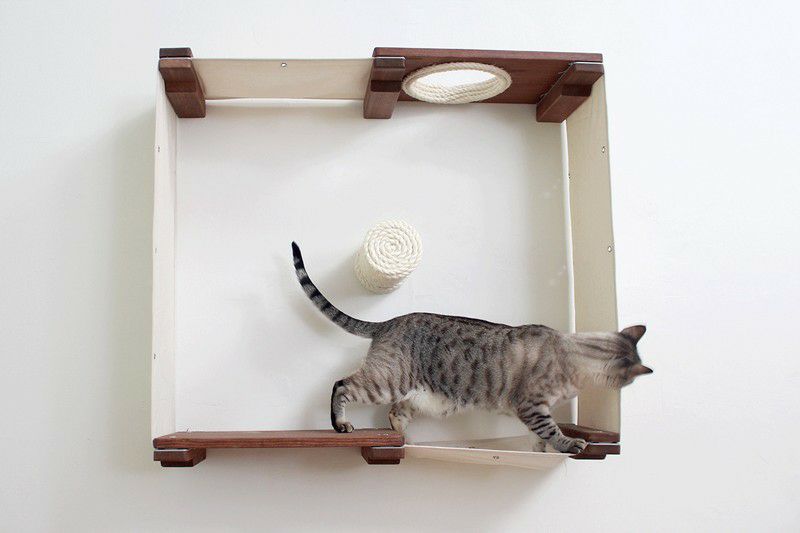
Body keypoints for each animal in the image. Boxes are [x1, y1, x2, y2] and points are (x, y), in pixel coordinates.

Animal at [292, 242, 652, 454]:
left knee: (394, 413)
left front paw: (542, 449)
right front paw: (569, 444)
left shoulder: (532, 411)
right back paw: (341, 425)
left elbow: (540, 437)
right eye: (630, 381)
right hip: (387, 381)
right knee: (342, 385)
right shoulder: (532, 406)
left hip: (418, 397)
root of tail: (389, 321)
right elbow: (551, 430)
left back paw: (407, 441)